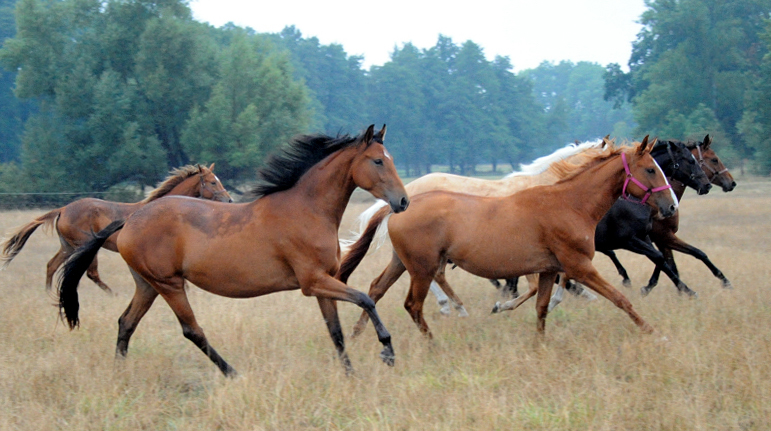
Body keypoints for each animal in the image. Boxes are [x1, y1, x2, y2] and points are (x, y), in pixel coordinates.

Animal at [1, 164, 231, 296]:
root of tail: (63, 209)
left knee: (51, 265)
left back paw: (48, 293)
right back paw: (112, 294)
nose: (229, 200)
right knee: (90, 273)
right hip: (83, 246)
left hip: (68, 246)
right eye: (212, 182)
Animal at [55, 124, 410, 374]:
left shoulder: (325, 282)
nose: (403, 201)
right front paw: (387, 350)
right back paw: (232, 373)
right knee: (192, 330)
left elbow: (336, 332)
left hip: (148, 285)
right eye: (378, 160)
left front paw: (351, 374)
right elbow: (365, 299)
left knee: (126, 323)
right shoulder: (313, 282)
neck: (306, 210)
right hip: (170, 285)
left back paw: (120, 374)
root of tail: (130, 220)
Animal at [340, 138, 680, 338]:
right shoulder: (579, 266)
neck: (569, 202)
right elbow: (621, 298)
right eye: (651, 169)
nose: (671, 206)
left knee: (377, 289)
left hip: (403, 263)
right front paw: (652, 331)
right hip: (422, 268)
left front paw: (538, 345)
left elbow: (541, 308)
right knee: (413, 304)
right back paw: (435, 335)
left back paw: (360, 333)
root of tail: (396, 206)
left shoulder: (549, 269)